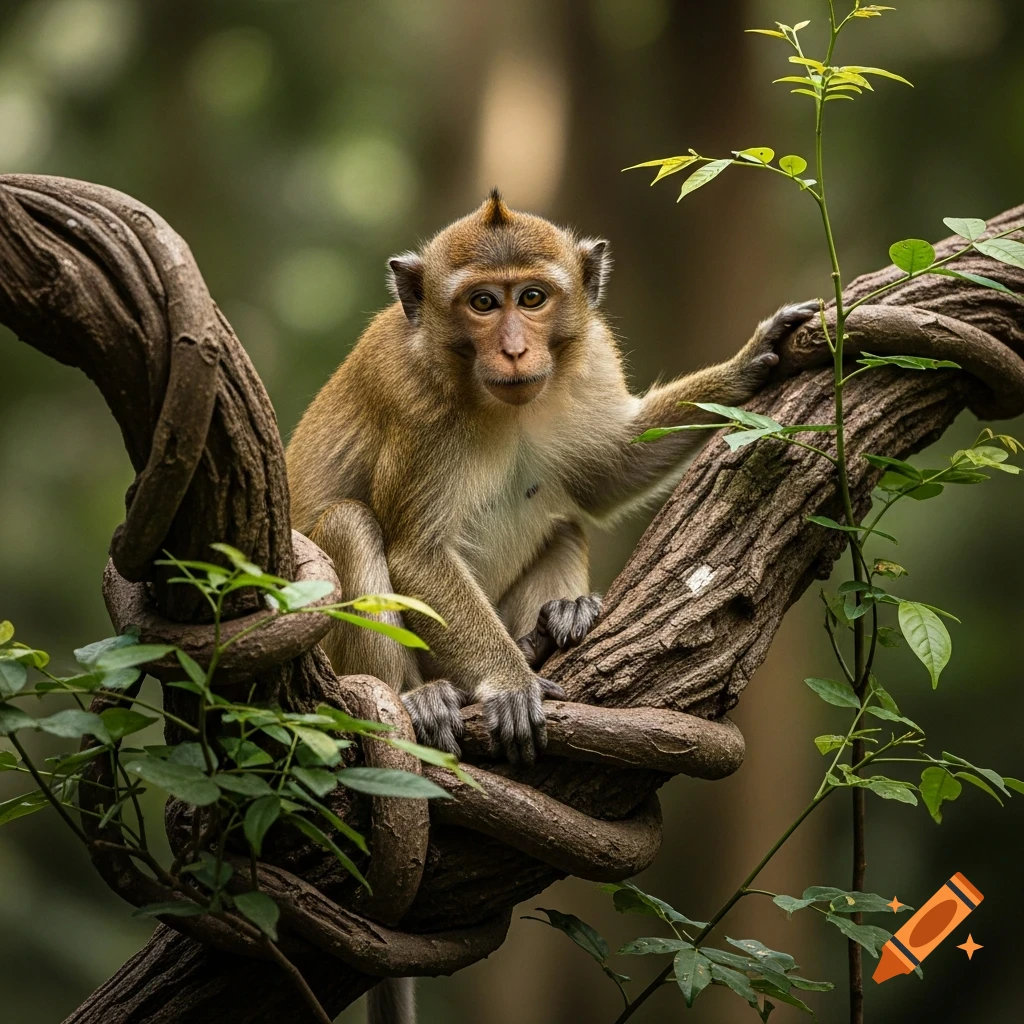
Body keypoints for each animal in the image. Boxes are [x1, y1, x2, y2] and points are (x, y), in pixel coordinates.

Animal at [285, 189, 813, 1023]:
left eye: (532, 298)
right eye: (481, 303)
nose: (512, 349)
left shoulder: (588, 356)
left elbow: (606, 473)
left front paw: (750, 362)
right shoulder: (414, 404)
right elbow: (417, 551)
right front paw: (508, 684)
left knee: (564, 517)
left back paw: (553, 624)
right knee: (350, 524)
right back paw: (424, 696)